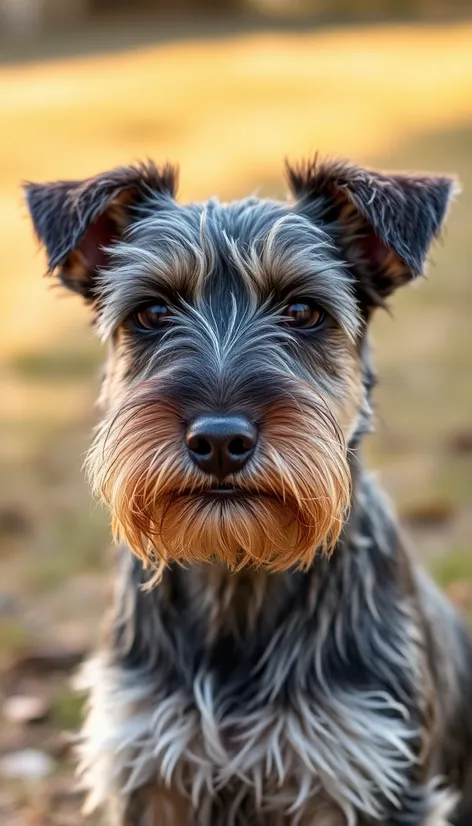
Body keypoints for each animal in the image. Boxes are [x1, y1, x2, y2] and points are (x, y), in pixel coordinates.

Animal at [24, 156, 472, 824]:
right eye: (151, 312)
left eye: (304, 311)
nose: (218, 440)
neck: (236, 572)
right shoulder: (148, 769)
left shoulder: (370, 775)